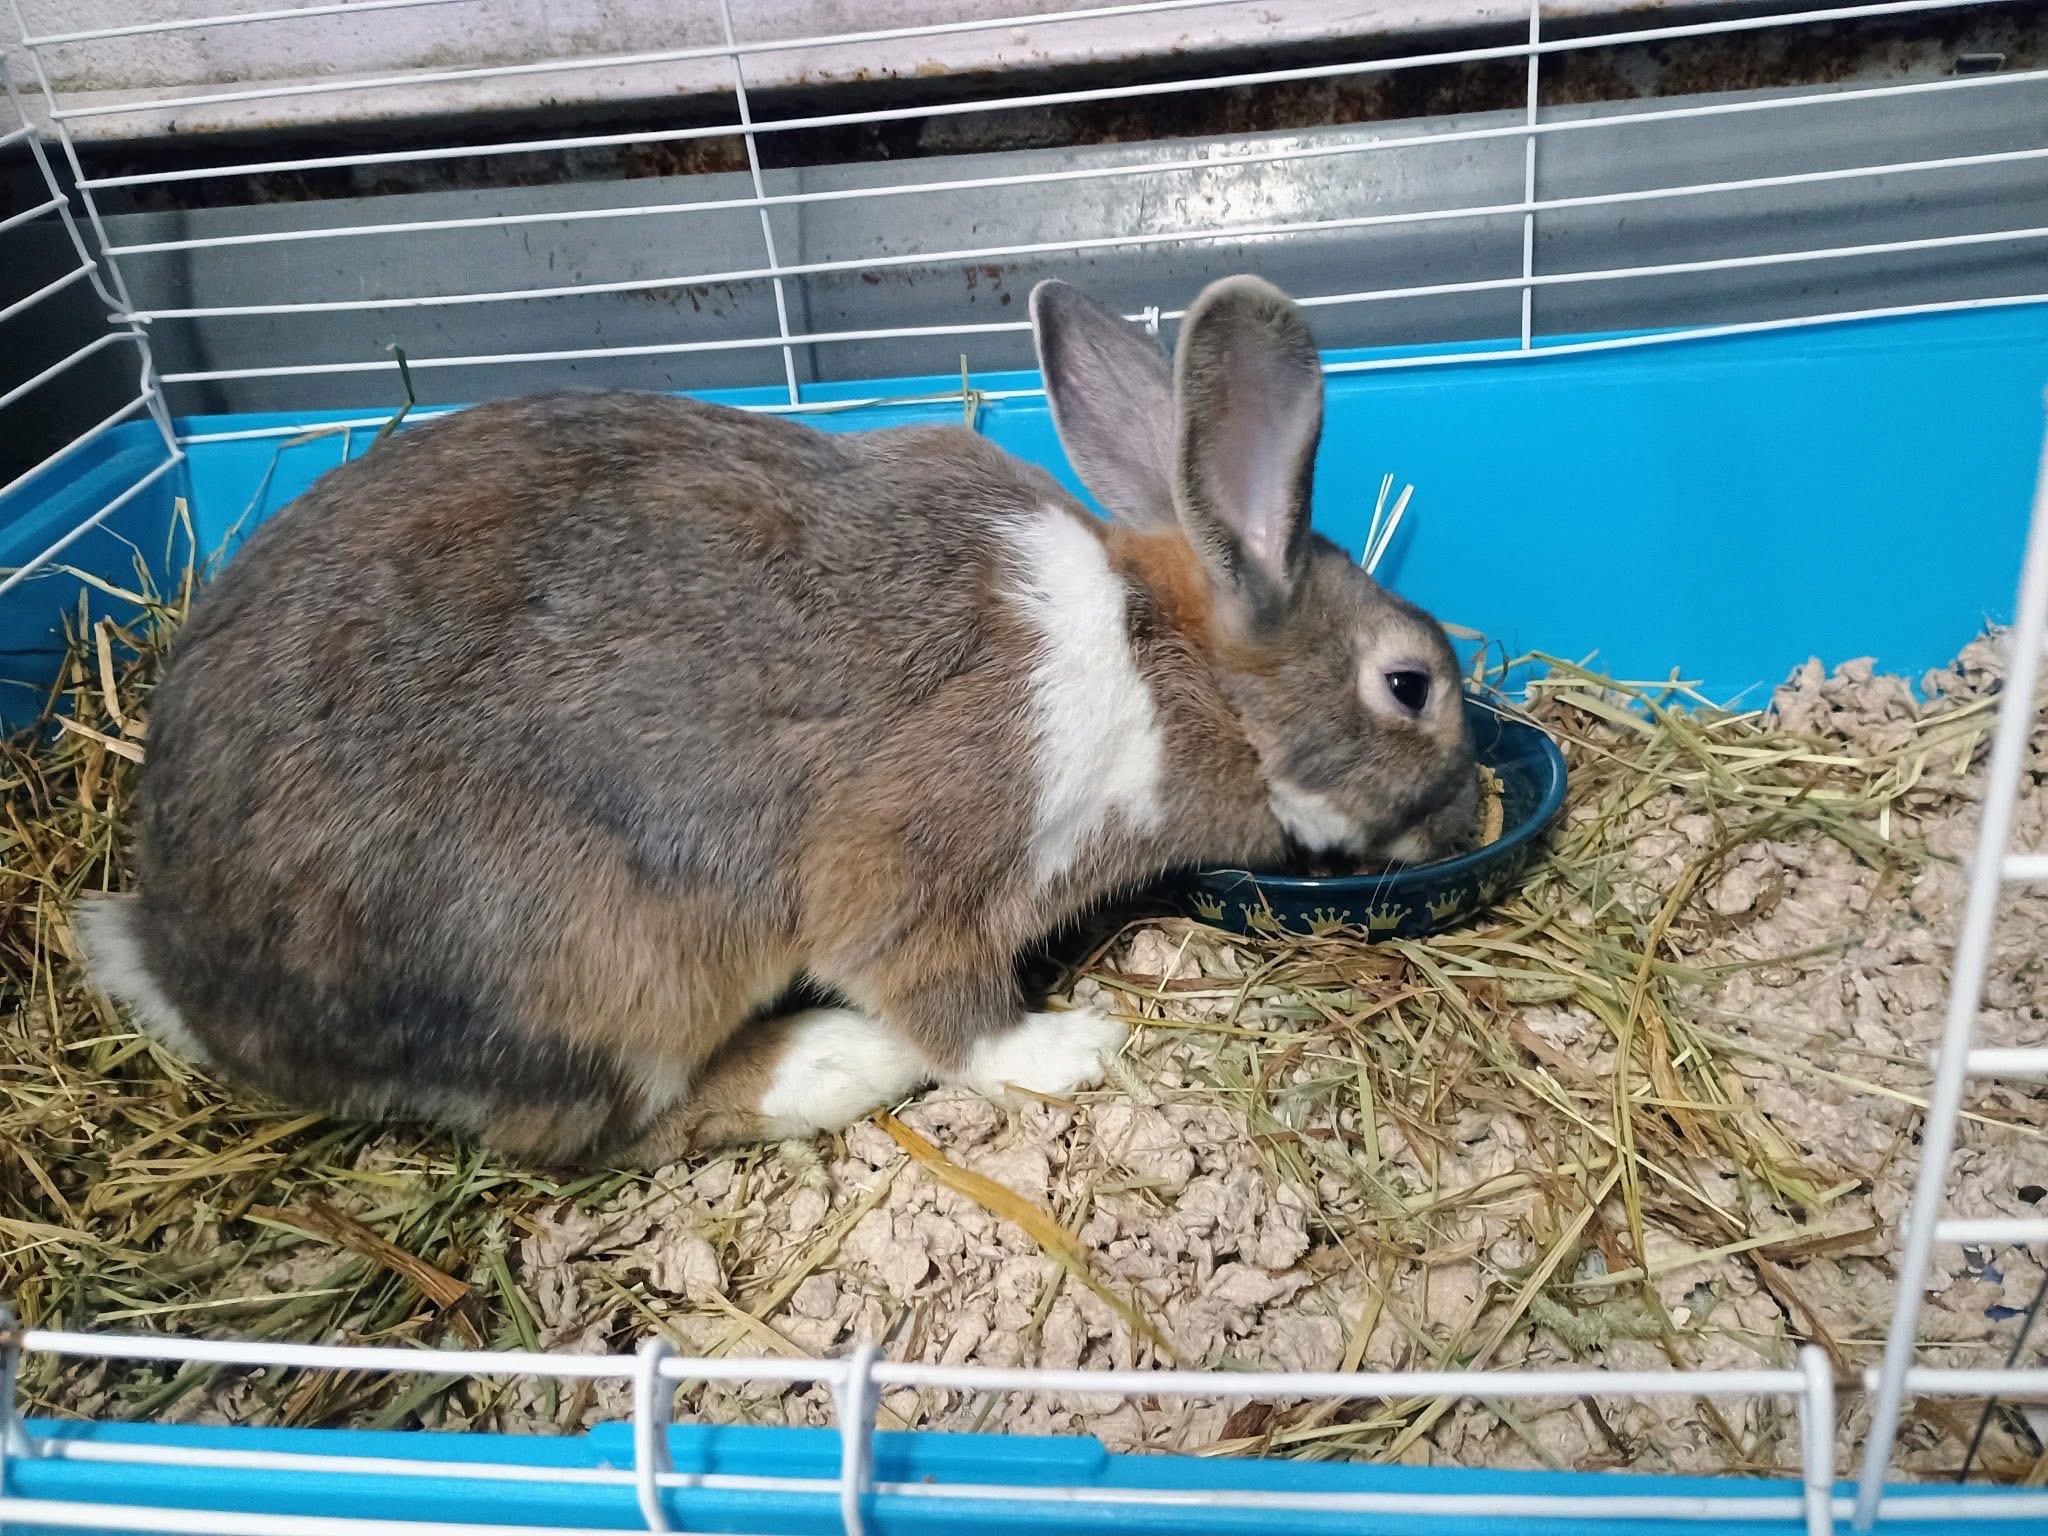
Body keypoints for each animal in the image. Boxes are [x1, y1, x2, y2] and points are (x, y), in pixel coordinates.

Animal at [75, 274, 1479, 1168]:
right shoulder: (919, 861)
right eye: (1408, 684)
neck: (1165, 661)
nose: (1468, 810)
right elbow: (946, 1002)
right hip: (615, 969)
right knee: (608, 1133)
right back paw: (836, 1062)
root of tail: (191, 975)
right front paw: (1068, 1049)